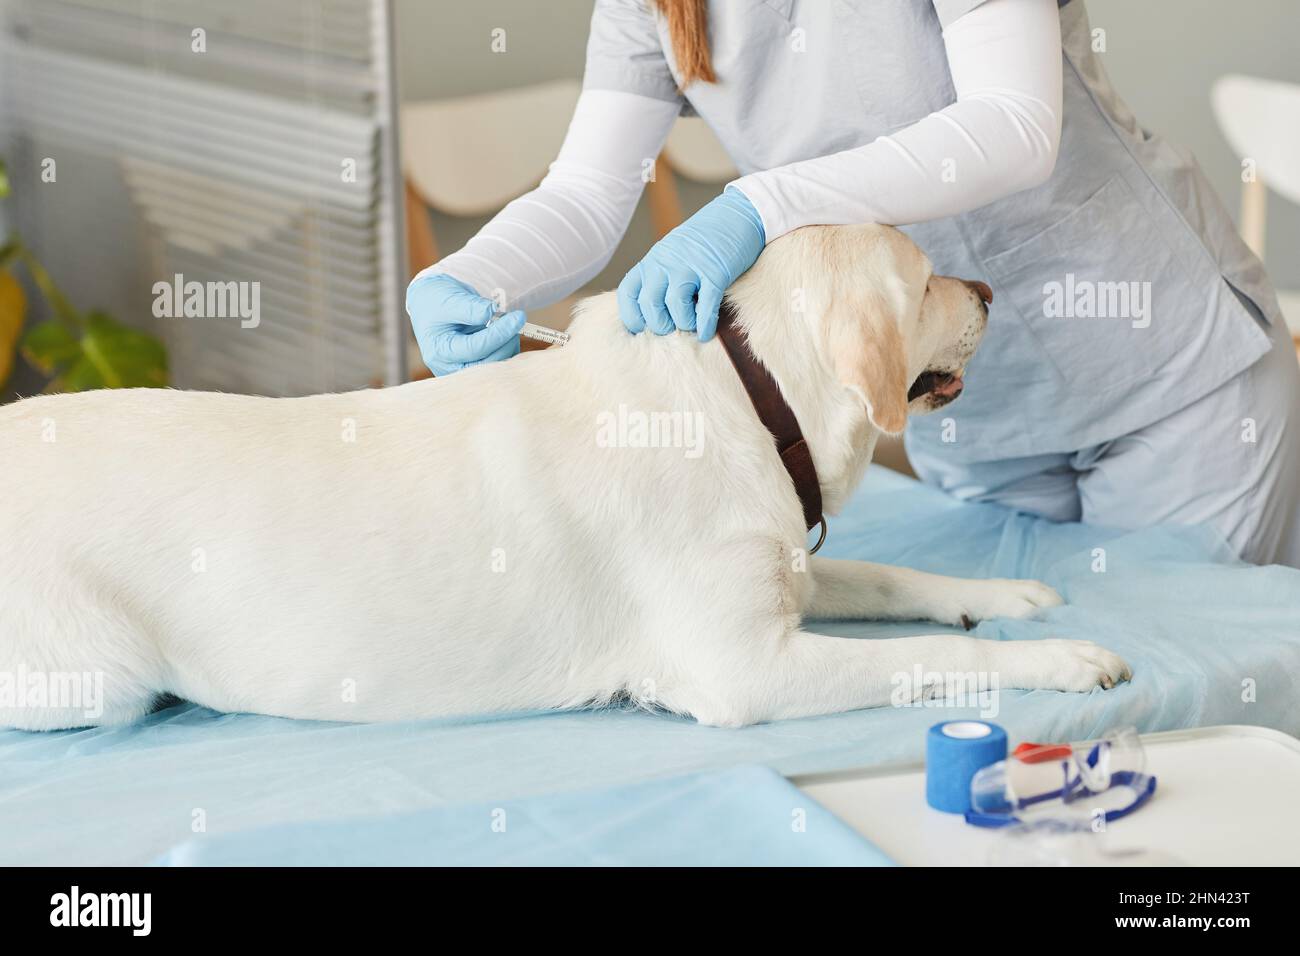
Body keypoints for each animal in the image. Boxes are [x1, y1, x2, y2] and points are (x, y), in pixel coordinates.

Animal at [0, 226, 1128, 733]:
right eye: (927, 277)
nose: (986, 289)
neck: (746, 395)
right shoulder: (742, 669)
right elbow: (931, 661)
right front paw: (1063, 659)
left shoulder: (782, 575)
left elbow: (897, 582)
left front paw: (1005, 596)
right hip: (95, 675)